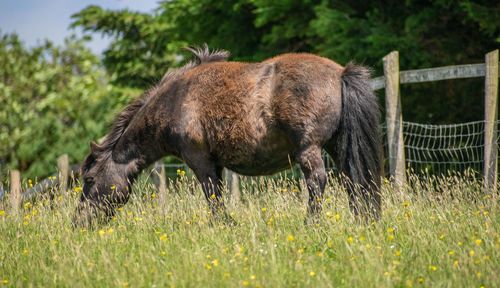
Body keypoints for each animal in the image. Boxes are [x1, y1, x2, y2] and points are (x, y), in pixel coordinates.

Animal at [74, 45, 380, 226]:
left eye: (89, 180)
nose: (78, 222)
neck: (175, 101)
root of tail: (340, 73)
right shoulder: (216, 163)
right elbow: (217, 194)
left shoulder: (200, 160)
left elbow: (213, 196)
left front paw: (222, 225)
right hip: (337, 146)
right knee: (353, 181)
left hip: (310, 149)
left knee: (317, 181)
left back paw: (311, 225)